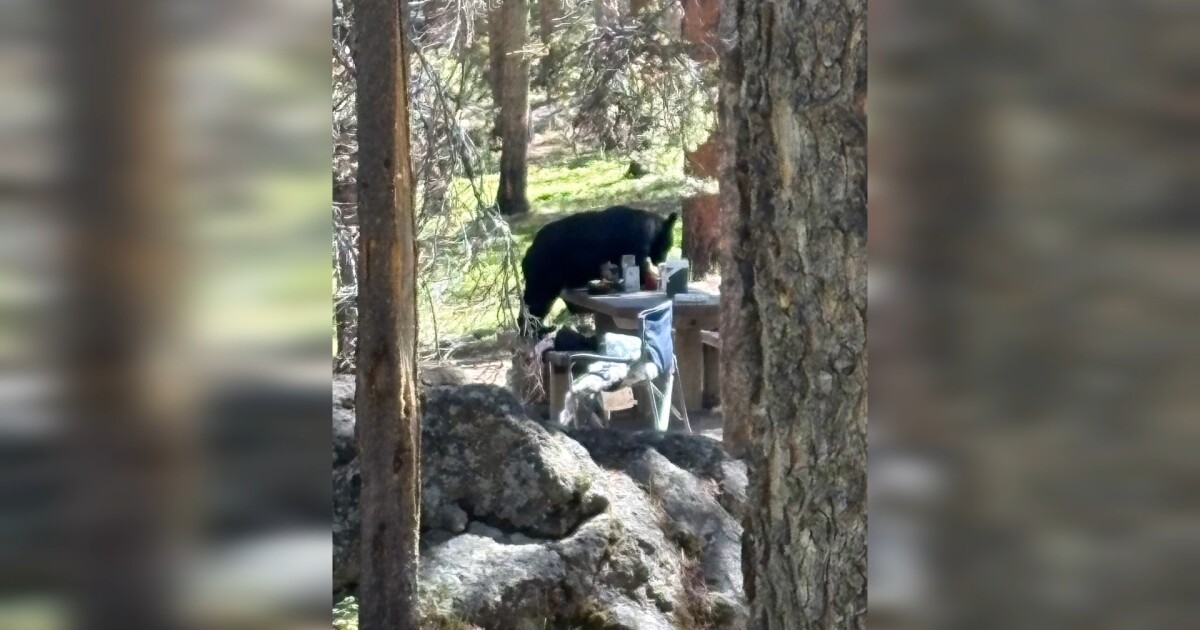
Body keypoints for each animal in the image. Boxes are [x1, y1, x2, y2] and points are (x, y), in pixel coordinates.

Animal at [520, 205, 678, 337]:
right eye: (669, 244)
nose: (661, 260)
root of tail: (528, 252)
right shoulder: (636, 245)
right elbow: (640, 267)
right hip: (544, 275)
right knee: (536, 302)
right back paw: (536, 331)